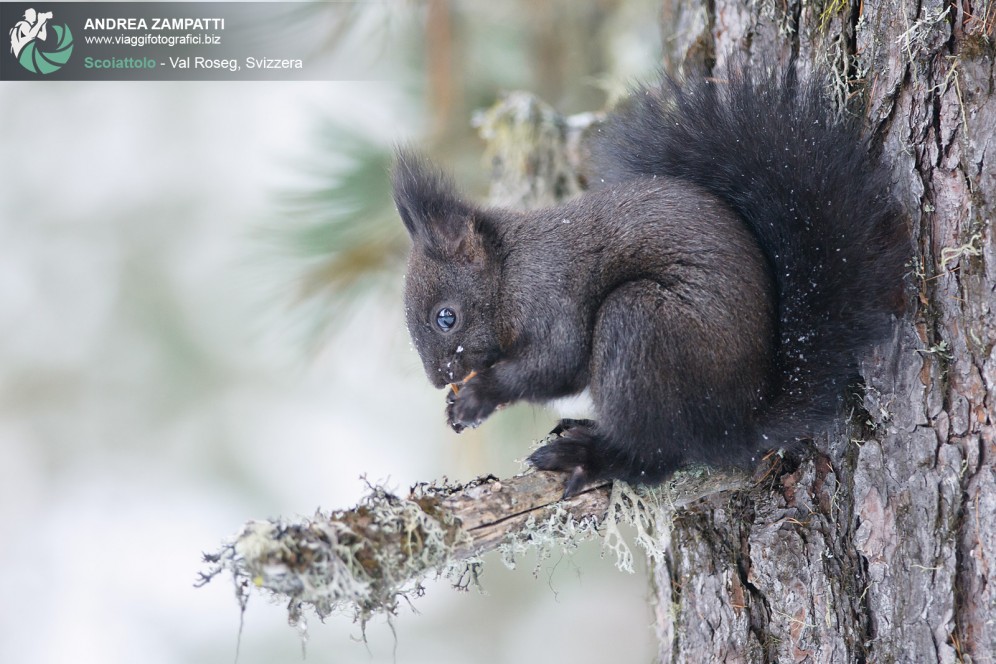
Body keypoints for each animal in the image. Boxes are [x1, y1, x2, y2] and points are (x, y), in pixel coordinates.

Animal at [392, 67, 912, 500]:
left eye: (445, 317)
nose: (439, 378)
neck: (510, 270)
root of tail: (737, 423)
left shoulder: (551, 291)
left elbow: (556, 361)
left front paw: (478, 396)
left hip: (640, 325)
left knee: (654, 455)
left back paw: (590, 456)